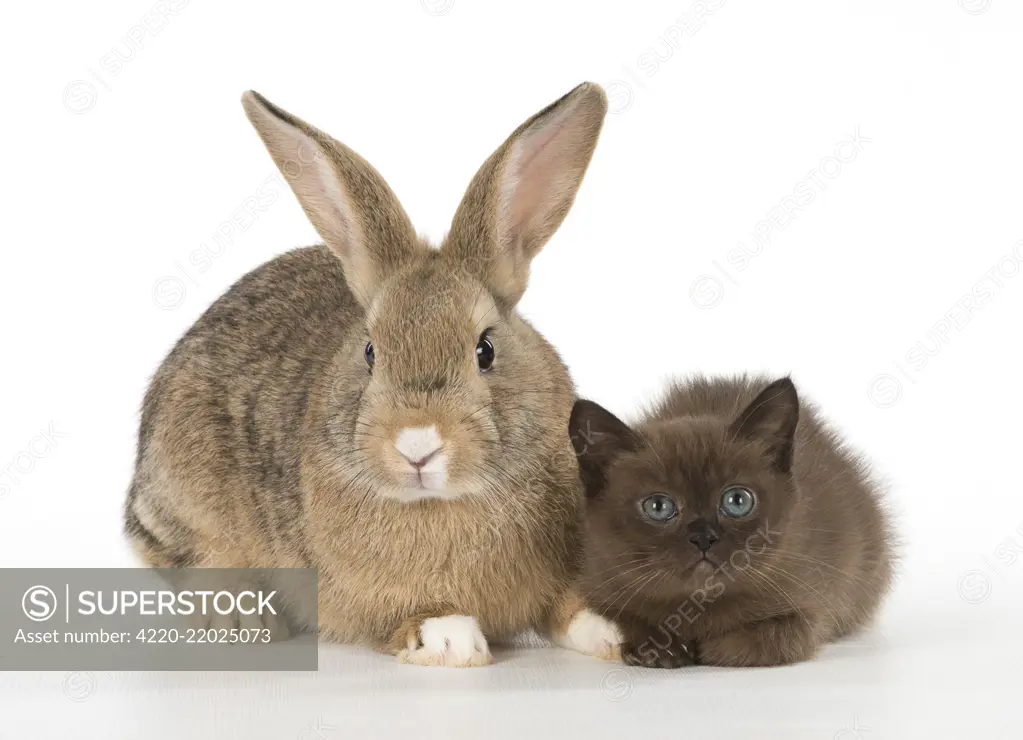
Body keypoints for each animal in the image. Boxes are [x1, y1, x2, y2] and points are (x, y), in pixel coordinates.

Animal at [126, 83, 621, 667]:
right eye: (369, 352)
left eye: (485, 350)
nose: (417, 445)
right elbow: (415, 617)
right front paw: (452, 641)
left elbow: (569, 606)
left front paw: (613, 631)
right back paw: (243, 617)